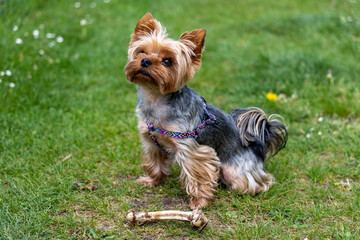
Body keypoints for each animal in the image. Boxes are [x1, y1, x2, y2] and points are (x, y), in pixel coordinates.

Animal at [124, 12, 286, 209]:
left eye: (167, 61)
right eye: (141, 52)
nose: (145, 61)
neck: (156, 98)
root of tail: (257, 147)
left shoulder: (191, 149)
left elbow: (197, 176)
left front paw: (199, 202)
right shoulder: (150, 141)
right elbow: (154, 162)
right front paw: (151, 180)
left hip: (234, 170)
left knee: (260, 182)